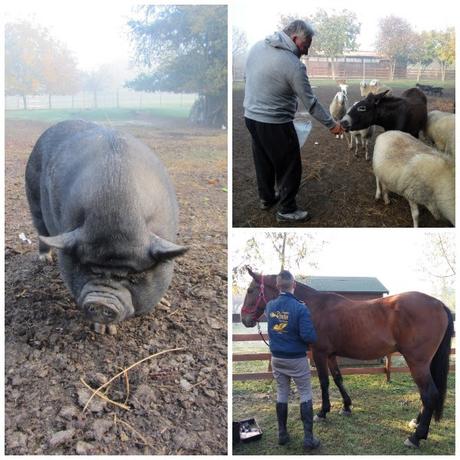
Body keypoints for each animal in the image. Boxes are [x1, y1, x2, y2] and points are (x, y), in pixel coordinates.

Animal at [241, 268, 452, 448]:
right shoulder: (331, 355)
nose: (244, 319)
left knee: (429, 394)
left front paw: (322, 412)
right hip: (425, 363)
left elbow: (324, 382)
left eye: (251, 290)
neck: (314, 306)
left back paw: (416, 437)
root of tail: (438, 304)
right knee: (428, 395)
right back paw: (416, 423)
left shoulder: (319, 353)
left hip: (417, 362)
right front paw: (346, 406)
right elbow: (337, 379)